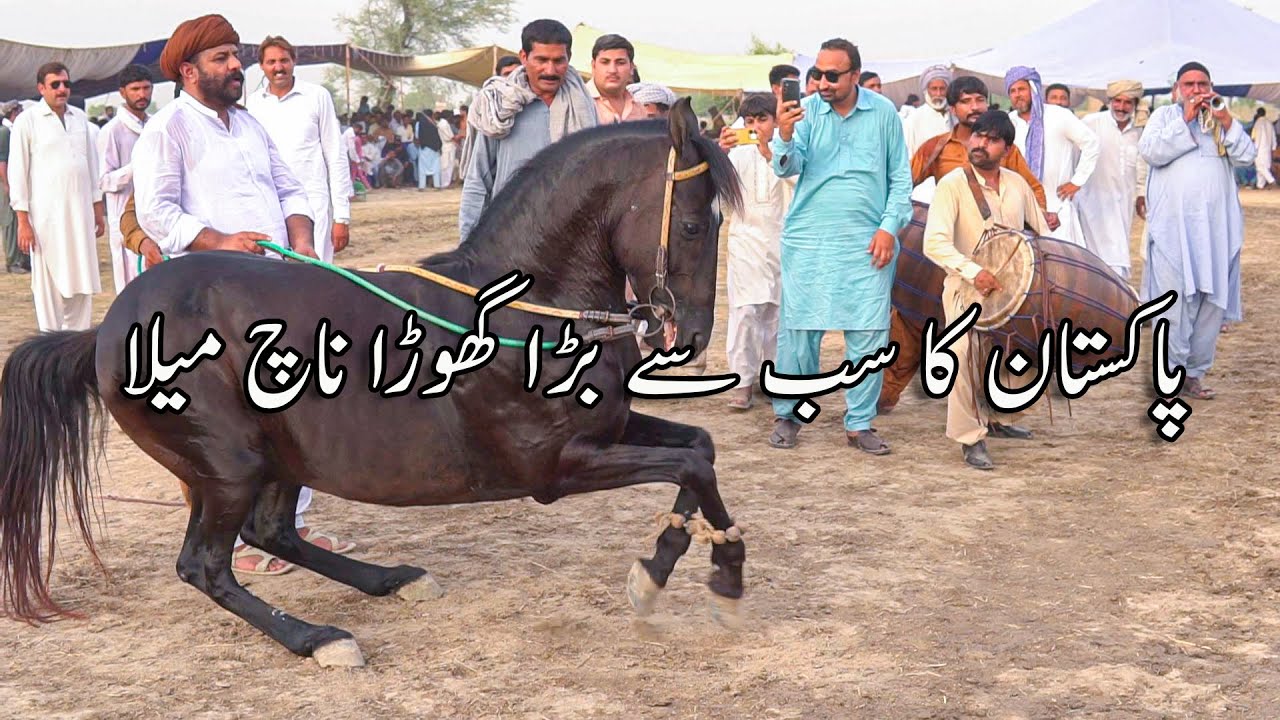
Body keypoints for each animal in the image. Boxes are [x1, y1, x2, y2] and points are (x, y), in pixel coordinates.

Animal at [0, 98, 745, 667]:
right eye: (690, 223)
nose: (692, 333)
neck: (522, 313)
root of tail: (102, 333)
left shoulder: (609, 429)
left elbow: (699, 450)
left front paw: (695, 565)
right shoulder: (555, 467)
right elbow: (687, 463)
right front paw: (686, 572)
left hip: (280, 456)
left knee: (271, 533)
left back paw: (392, 579)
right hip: (230, 463)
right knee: (206, 564)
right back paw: (318, 638)